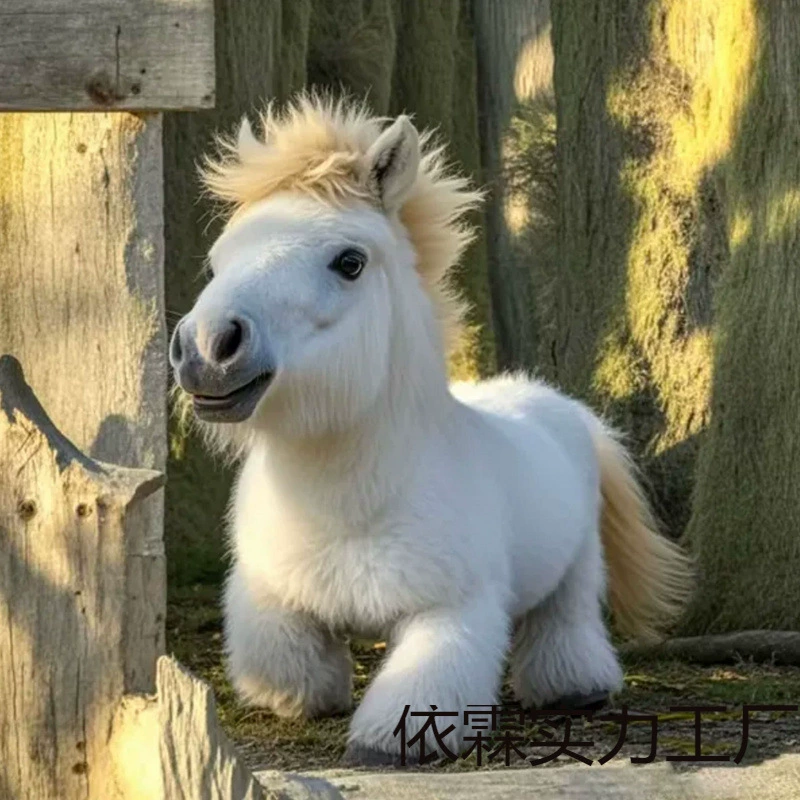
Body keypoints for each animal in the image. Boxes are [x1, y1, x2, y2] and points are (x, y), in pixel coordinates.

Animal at [169, 95, 693, 766]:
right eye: (217, 260)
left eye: (349, 262)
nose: (208, 348)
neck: (349, 509)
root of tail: (556, 405)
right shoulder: (271, 599)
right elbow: (287, 666)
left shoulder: (449, 611)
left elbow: (418, 694)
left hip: (576, 571)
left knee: (564, 621)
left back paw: (575, 688)